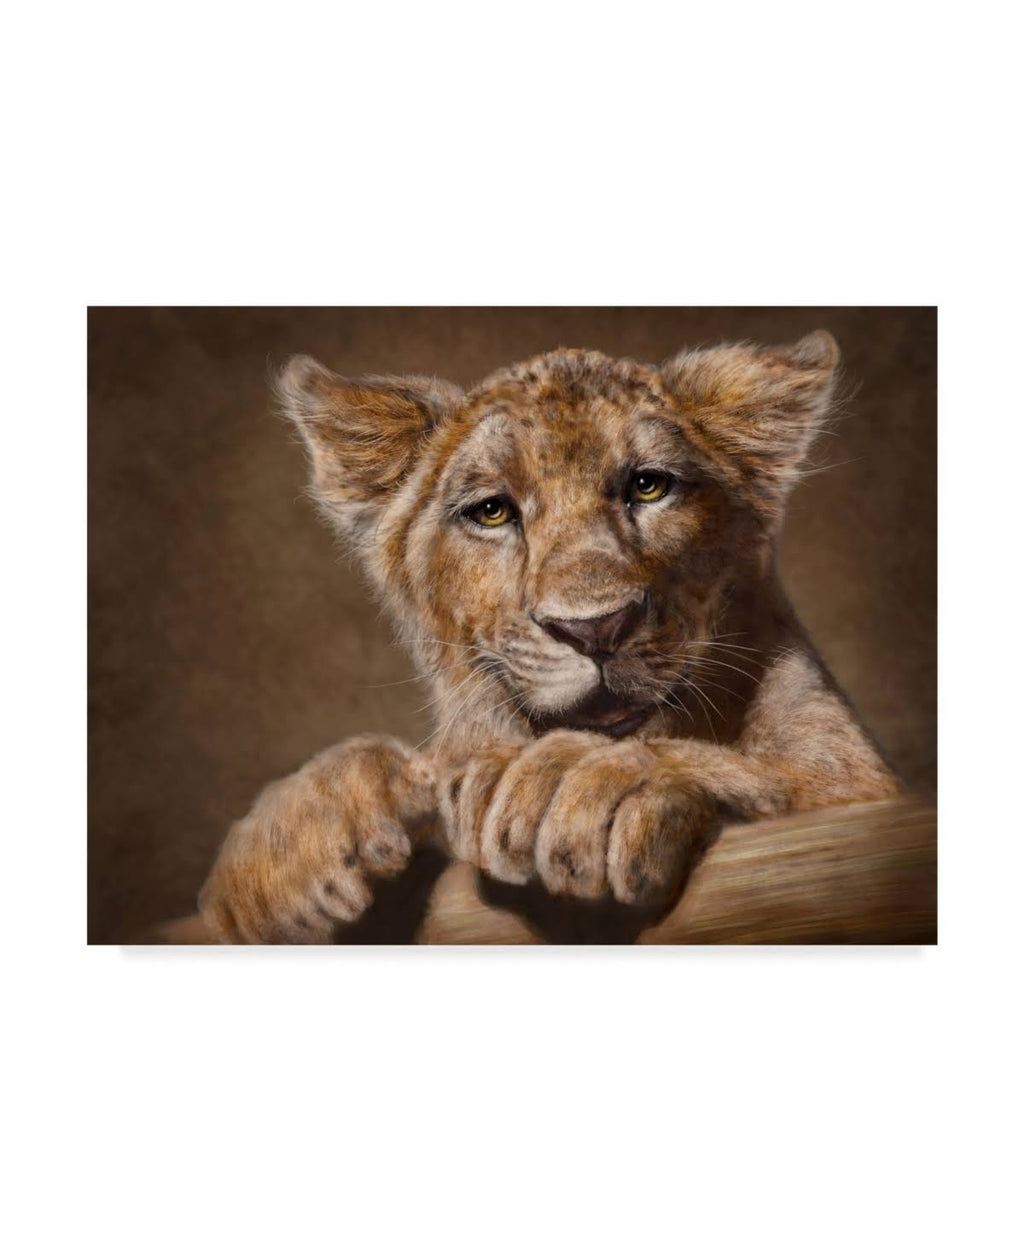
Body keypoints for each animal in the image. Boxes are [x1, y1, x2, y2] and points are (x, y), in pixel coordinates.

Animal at [197, 331, 900, 943]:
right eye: (491, 511)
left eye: (649, 485)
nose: (594, 627)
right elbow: (398, 763)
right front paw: (287, 845)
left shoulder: (856, 784)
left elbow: (785, 784)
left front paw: (578, 784)